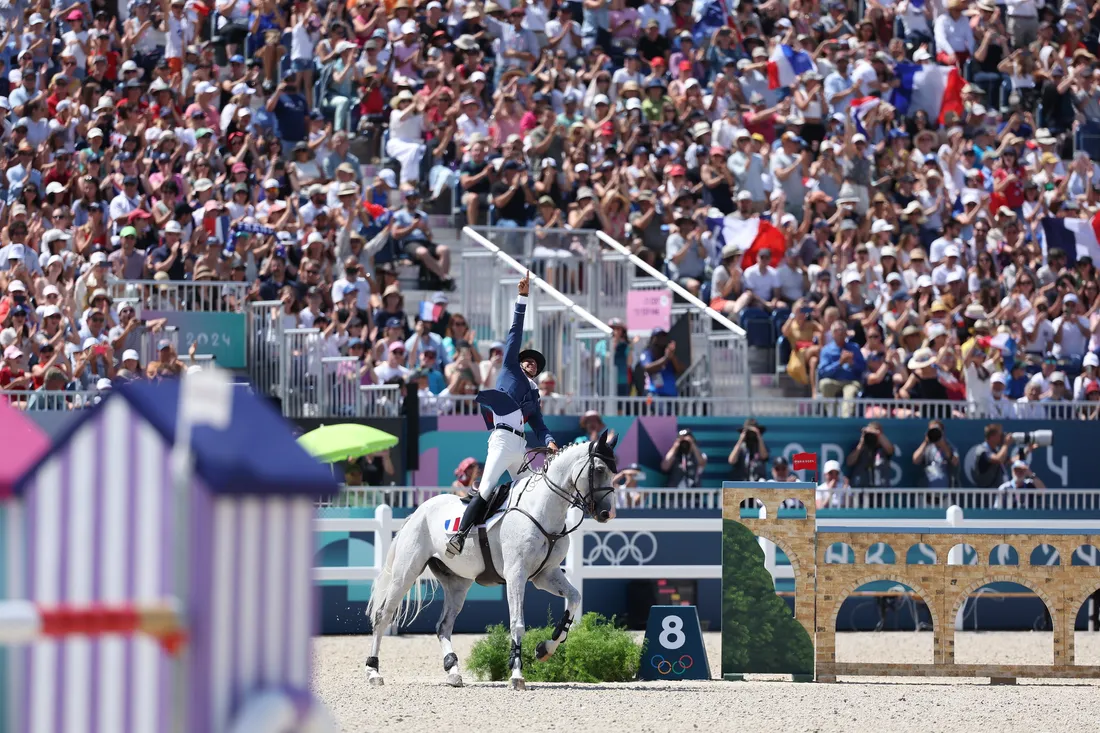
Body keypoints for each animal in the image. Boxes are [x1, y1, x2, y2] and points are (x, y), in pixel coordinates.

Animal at [367, 429, 620, 686]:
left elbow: (575, 598)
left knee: (443, 626)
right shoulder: (516, 575)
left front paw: (545, 648)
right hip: (406, 572)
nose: (607, 514)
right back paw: (373, 671)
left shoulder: (546, 574)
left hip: (457, 583)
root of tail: (417, 512)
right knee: (383, 615)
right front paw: (517, 674)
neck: (542, 509)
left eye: (614, 471)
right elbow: (517, 624)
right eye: (600, 469)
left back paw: (453, 670)